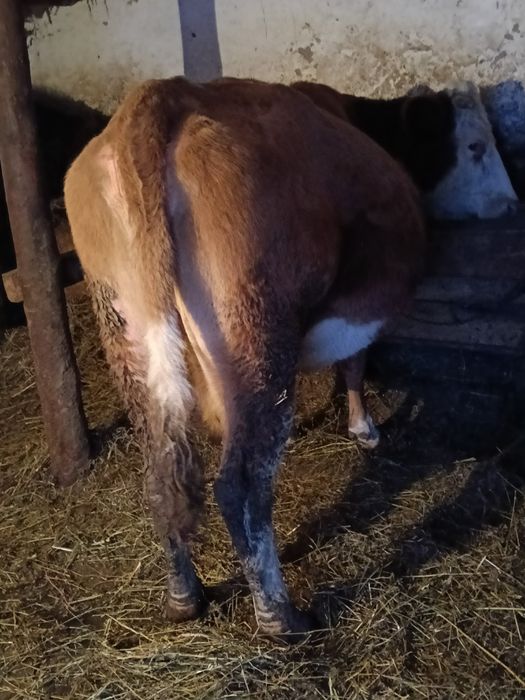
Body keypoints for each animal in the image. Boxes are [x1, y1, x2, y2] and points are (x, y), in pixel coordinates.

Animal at [64, 76, 425, 640]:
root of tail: (161, 95)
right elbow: (355, 363)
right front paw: (364, 429)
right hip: (255, 321)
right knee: (242, 487)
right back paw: (280, 615)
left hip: (124, 318)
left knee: (161, 473)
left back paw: (184, 597)